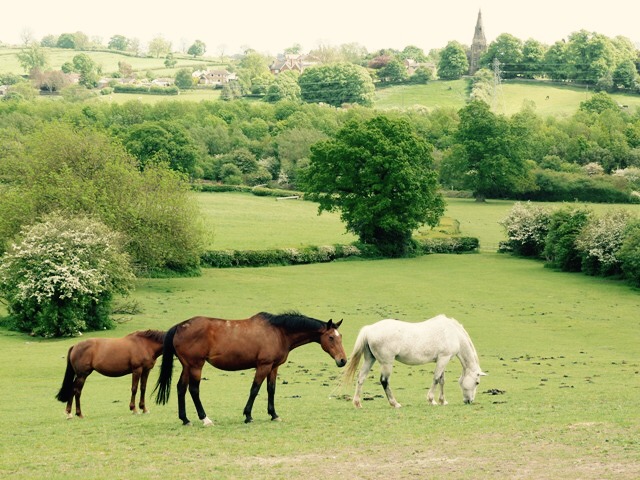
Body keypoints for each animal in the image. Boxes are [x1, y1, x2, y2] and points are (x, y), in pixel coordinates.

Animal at [153, 312, 348, 428]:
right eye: (331, 338)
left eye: (340, 337)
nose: (343, 360)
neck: (279, 332)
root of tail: (179, 326)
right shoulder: (263, 365)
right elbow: (254, 389)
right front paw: (248, 416)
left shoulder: (273, 367)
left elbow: (271, 390)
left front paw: (274, 414)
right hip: (195, 366)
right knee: (193, 390)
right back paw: (205, 418)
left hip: (187, 366)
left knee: (180, 388)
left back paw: (185, 419)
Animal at [344, 316, 484, 408]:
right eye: (477, 382)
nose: (469, 401)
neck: (453, 333)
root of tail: (369, 329)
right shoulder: (443, 359)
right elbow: (436, 379)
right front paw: (431, 400)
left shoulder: (443, 359)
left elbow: (442, 380)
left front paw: (442, 401)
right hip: (386, 363)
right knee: (384, 381)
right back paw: (395, 403)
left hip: (370, 359)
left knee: (361, 378)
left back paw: (357, 403)